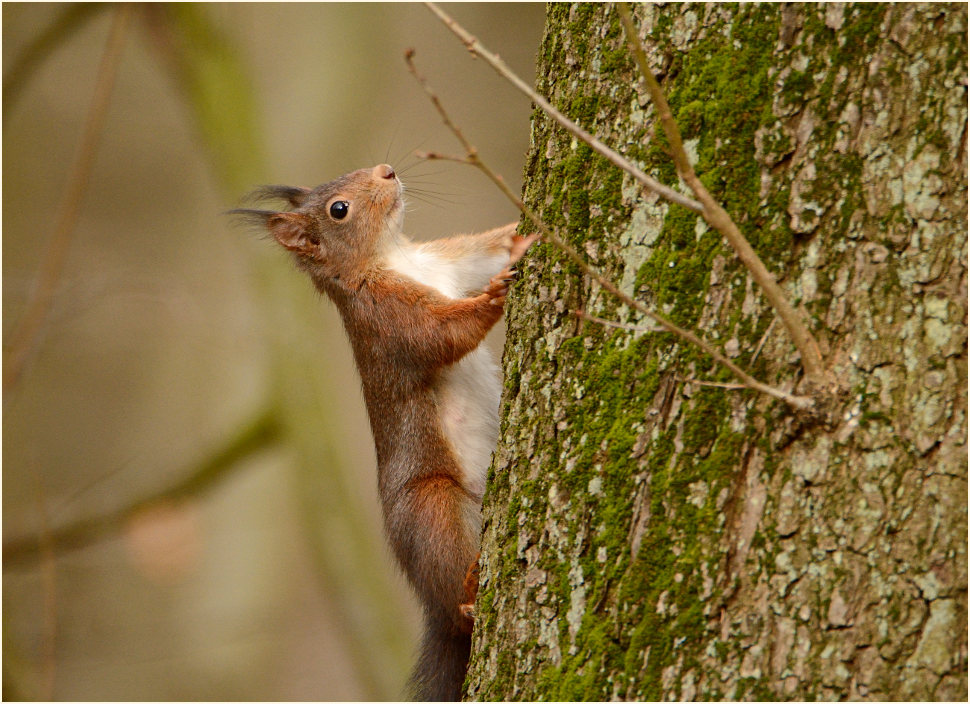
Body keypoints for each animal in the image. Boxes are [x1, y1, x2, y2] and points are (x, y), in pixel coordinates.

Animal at [232, 163, 536, 701]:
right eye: (339, 210)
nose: (386, 170)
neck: (396, 255)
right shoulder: (386, 320)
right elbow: (441, 336)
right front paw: (494, 296)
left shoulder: (449, 262)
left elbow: (489, 250)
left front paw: (524, 232)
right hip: (429, 509)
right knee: (452, 593)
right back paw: (467, 595)